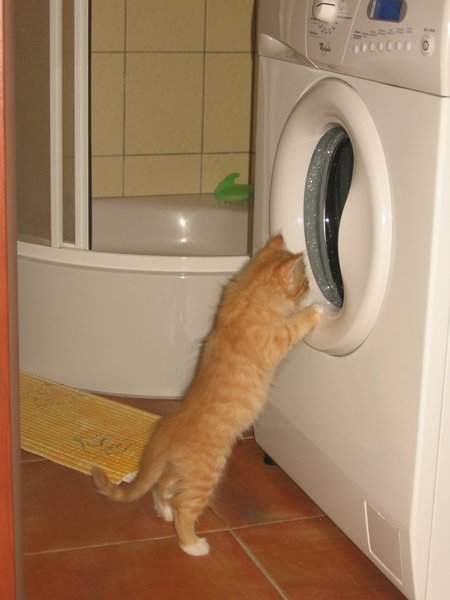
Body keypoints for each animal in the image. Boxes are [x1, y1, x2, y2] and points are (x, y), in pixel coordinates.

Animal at [92, 234, 321, 556]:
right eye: (303, 282)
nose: (312, 287)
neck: (247, 296)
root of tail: (166, 431)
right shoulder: (275, 341)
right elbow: (295, 325)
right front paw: (315, 311)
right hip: (206, 474)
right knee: (183, 506)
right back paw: (192, 544)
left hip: (179, 471)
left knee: (162, 487)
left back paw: (163, 511)